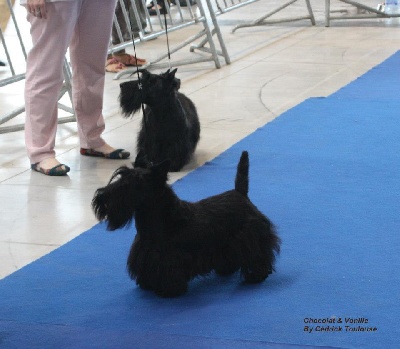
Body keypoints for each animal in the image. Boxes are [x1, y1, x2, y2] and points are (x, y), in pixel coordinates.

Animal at [93, 150, 282, 296]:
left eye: (135, 184)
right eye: (120, 176)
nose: (101, 198)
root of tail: (240, 193)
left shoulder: (170, 259)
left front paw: (168, 290)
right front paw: (147, 283)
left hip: (250, 235)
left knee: (258, 255)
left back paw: (256, 275)